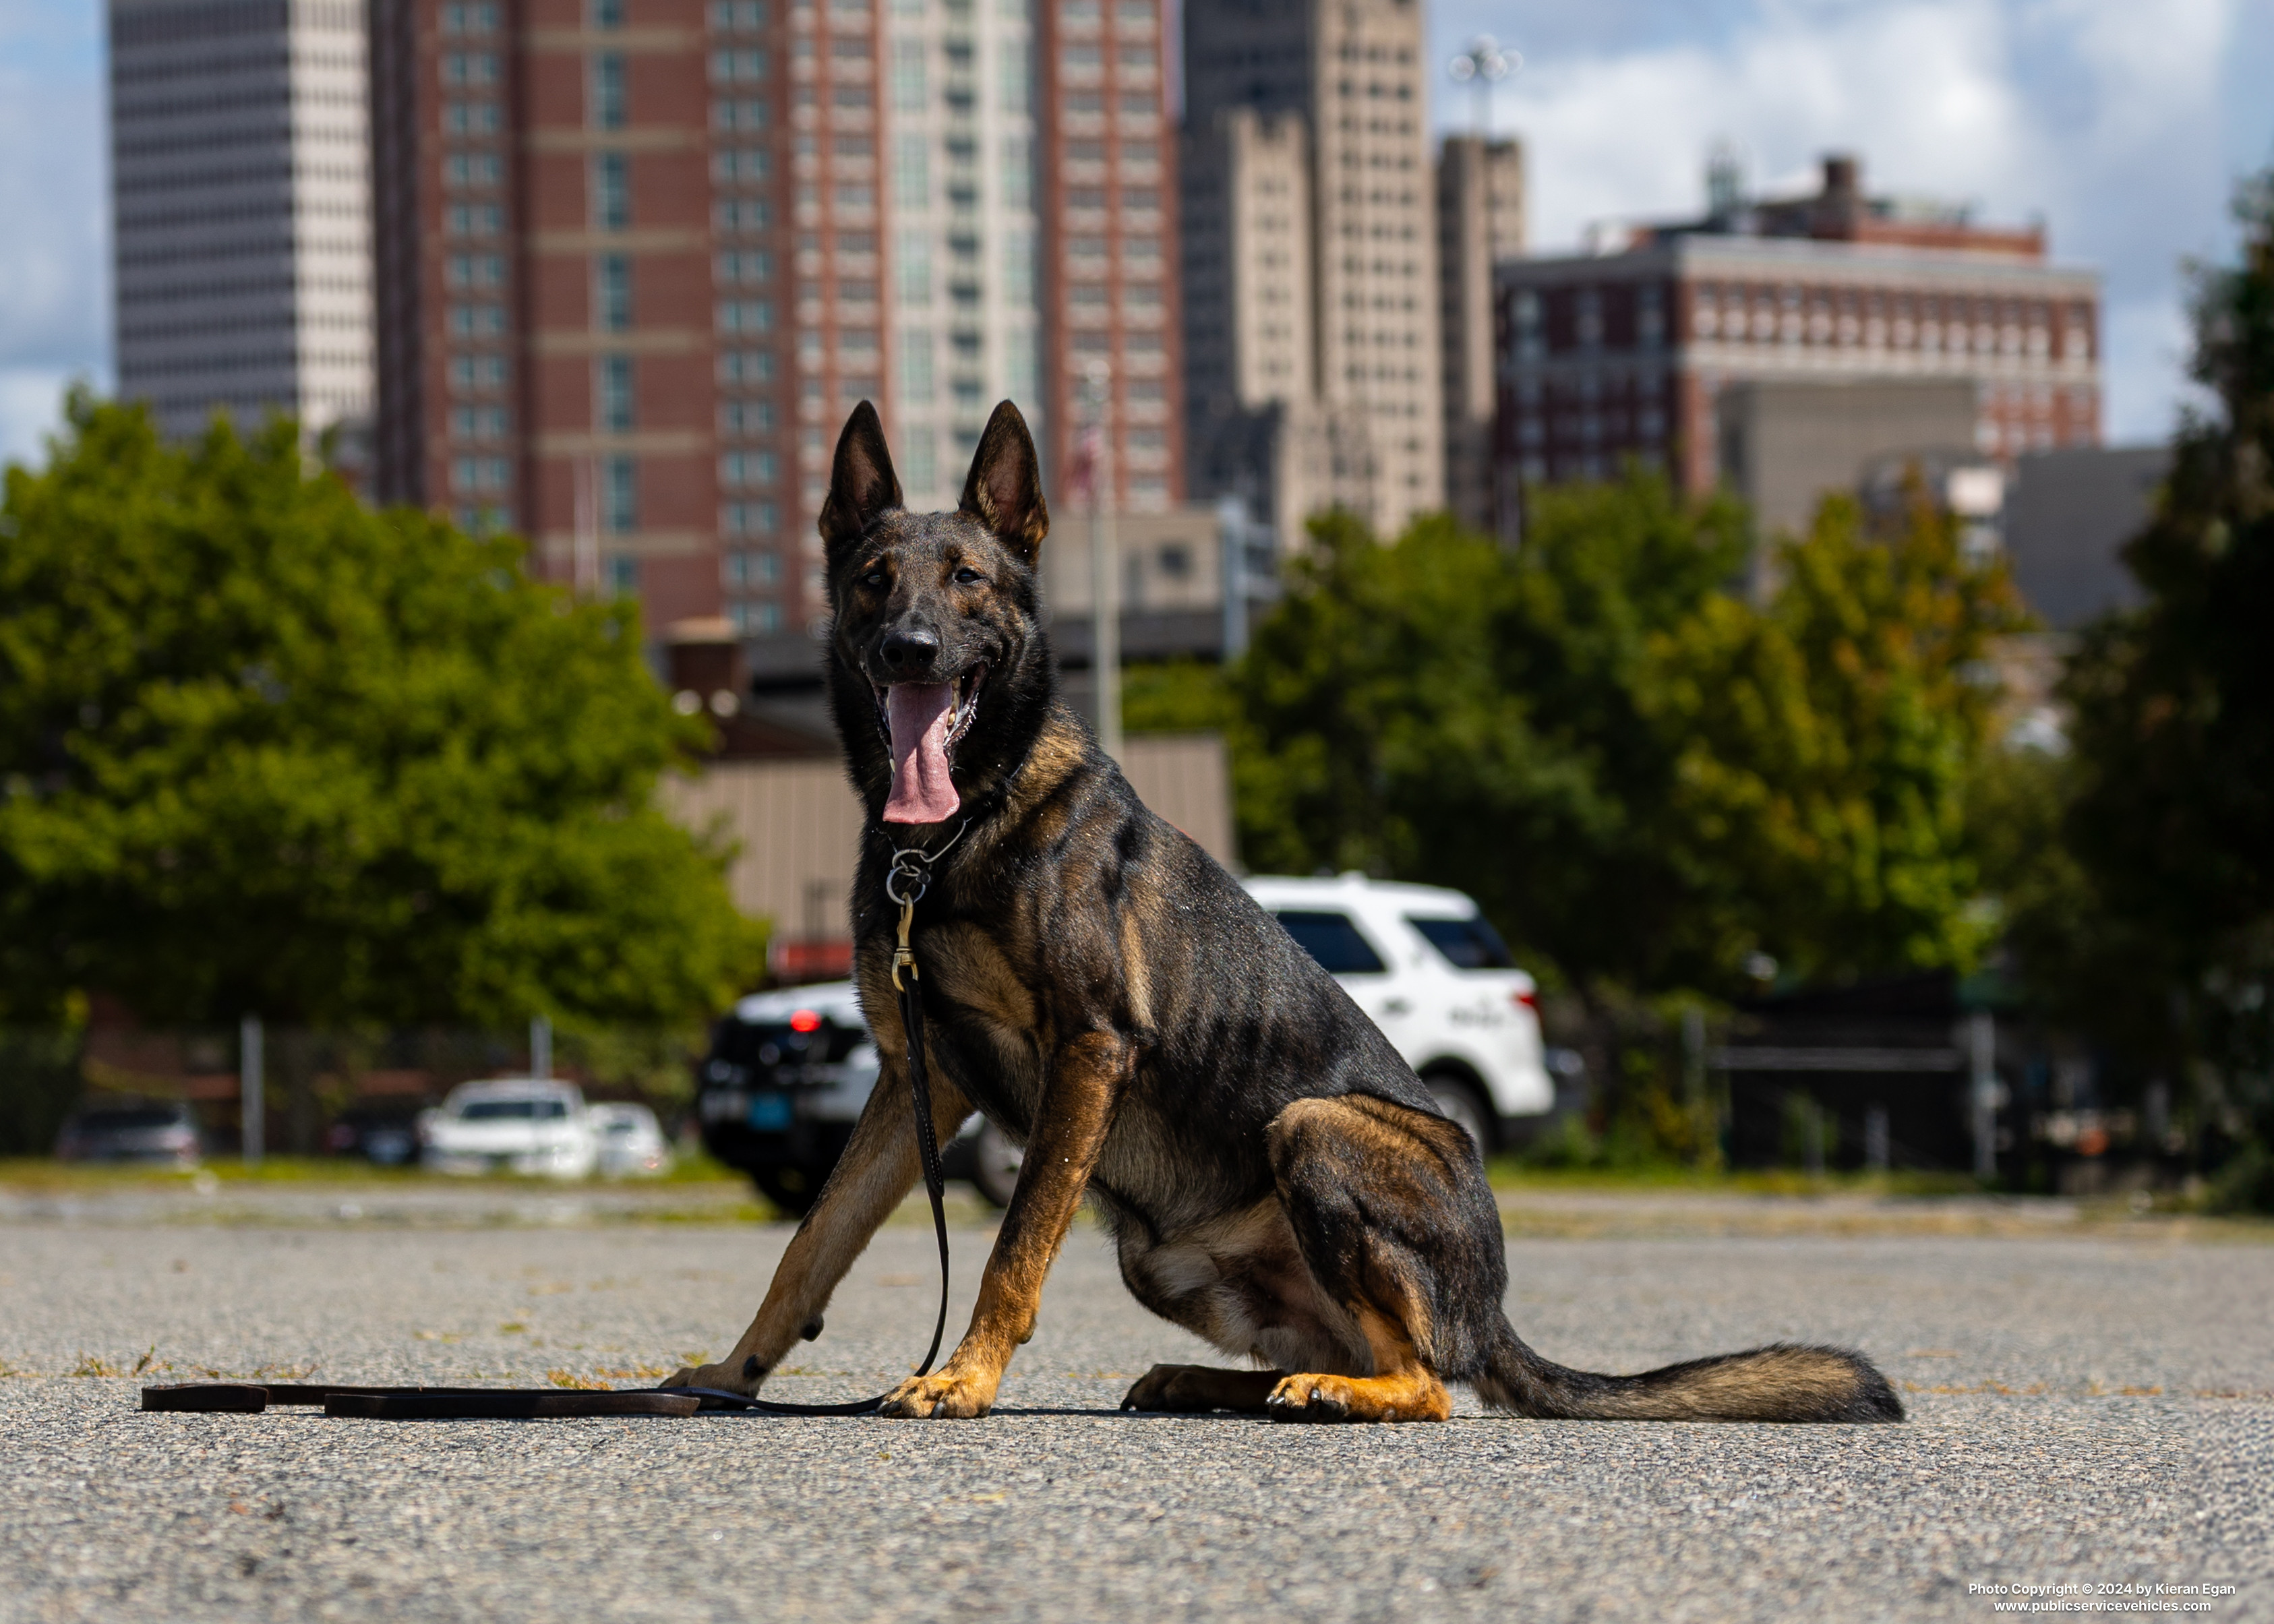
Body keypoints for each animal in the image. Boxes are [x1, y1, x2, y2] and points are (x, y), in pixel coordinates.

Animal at [668, 402, 1901, 1419]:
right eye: (875, 578)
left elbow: (1011, 1246)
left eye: (967, 578)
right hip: (1160, 1256)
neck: (953, 832)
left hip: (1310, 1129)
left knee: (1428, 1380)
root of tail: (1491, 1314)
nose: (911, 648)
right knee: (1347, 1348)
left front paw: (961, 1377)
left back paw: (1333, 1393)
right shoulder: (913, 1076)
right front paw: (729, 1373)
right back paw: (1219, 1382)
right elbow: (810, 1241)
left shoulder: (1086, 1049)